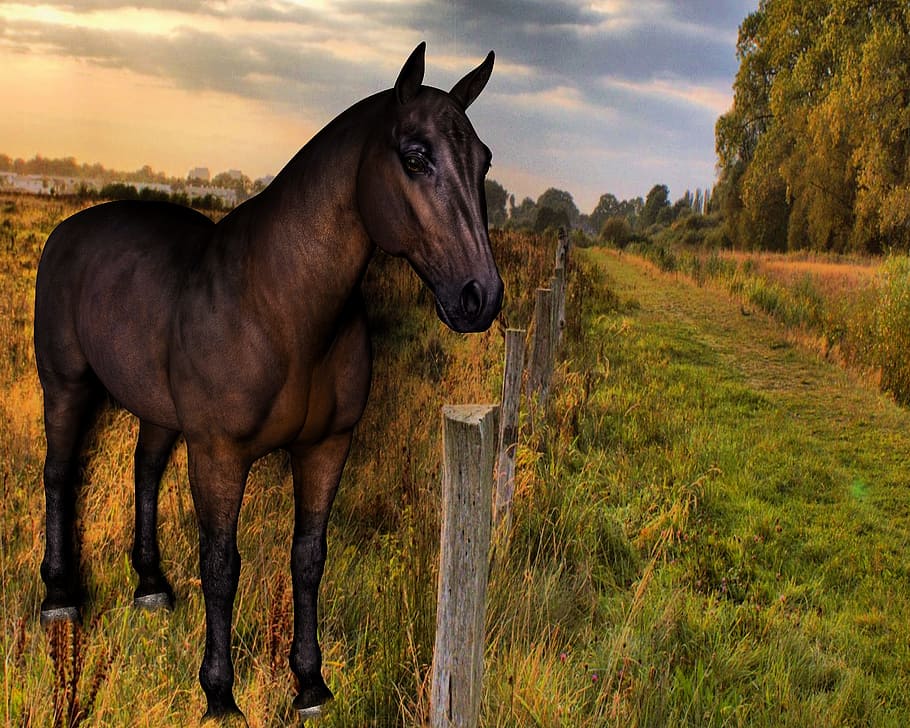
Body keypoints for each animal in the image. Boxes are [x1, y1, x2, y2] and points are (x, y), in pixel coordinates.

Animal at [33, 42, 502, 721]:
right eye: (415, 157)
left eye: (483, 160)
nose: (480, 296)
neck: (281, 306)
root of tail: (68, 230)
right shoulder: (220, 453)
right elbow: (221, 562)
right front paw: (219, 695)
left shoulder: (327, 446)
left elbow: (308, 555)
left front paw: (310, 684)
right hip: (65, 383)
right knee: (60, 474)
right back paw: (60, 597)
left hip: (157, 407)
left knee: (145, 471)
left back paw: (151, 585)